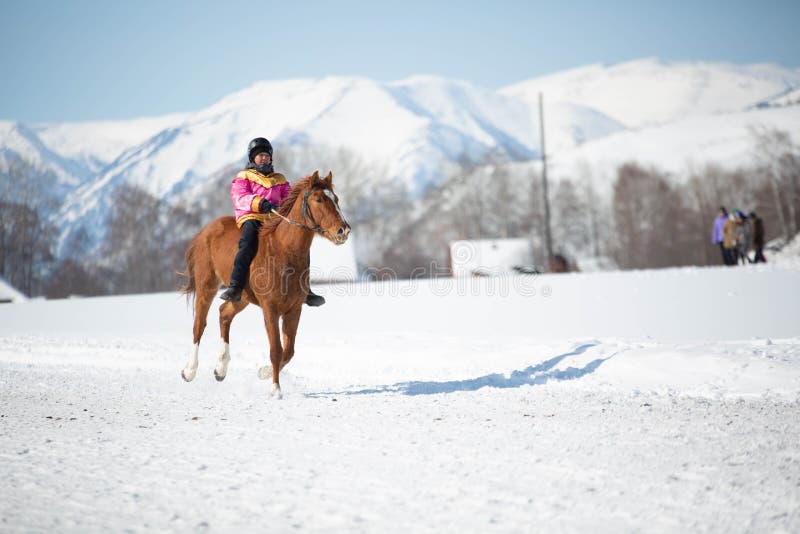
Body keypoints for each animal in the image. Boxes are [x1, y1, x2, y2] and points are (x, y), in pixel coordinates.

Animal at [181, 170, 350, 400]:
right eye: (318, 199)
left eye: (336, 199)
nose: (344, 231)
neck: (282, 251)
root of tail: (206, 230)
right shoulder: (270, 309)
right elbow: (276, 349)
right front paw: (275, 389)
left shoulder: (293, 310)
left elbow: (289, 350)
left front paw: (264, 372)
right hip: (206, 285)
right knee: (199, 324)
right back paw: (189, 371)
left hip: (241, 297)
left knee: (224, 313)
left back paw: (220, 369)